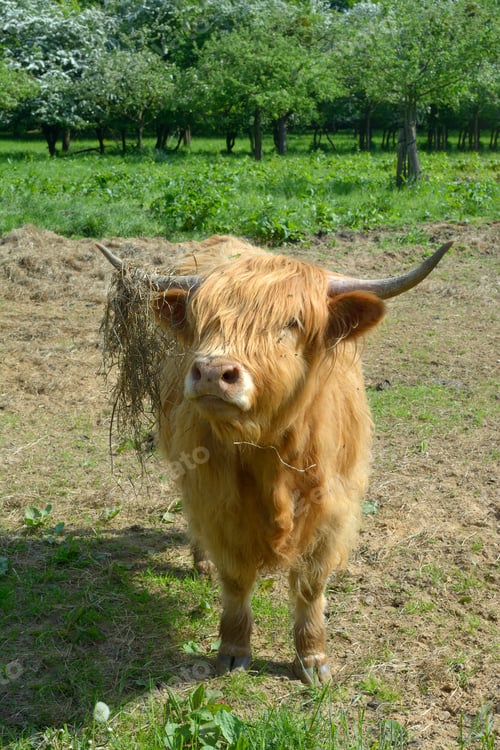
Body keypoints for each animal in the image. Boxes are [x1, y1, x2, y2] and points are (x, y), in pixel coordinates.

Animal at [97, 235, 451, 684]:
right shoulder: (219, 506)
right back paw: (200, 561)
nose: (212, 372)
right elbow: (235, 581)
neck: (270, 455)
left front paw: (312, 658)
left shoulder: (332, 511)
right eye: (201, 319)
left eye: (293, 322)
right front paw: (233, 649)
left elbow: (311, 587)